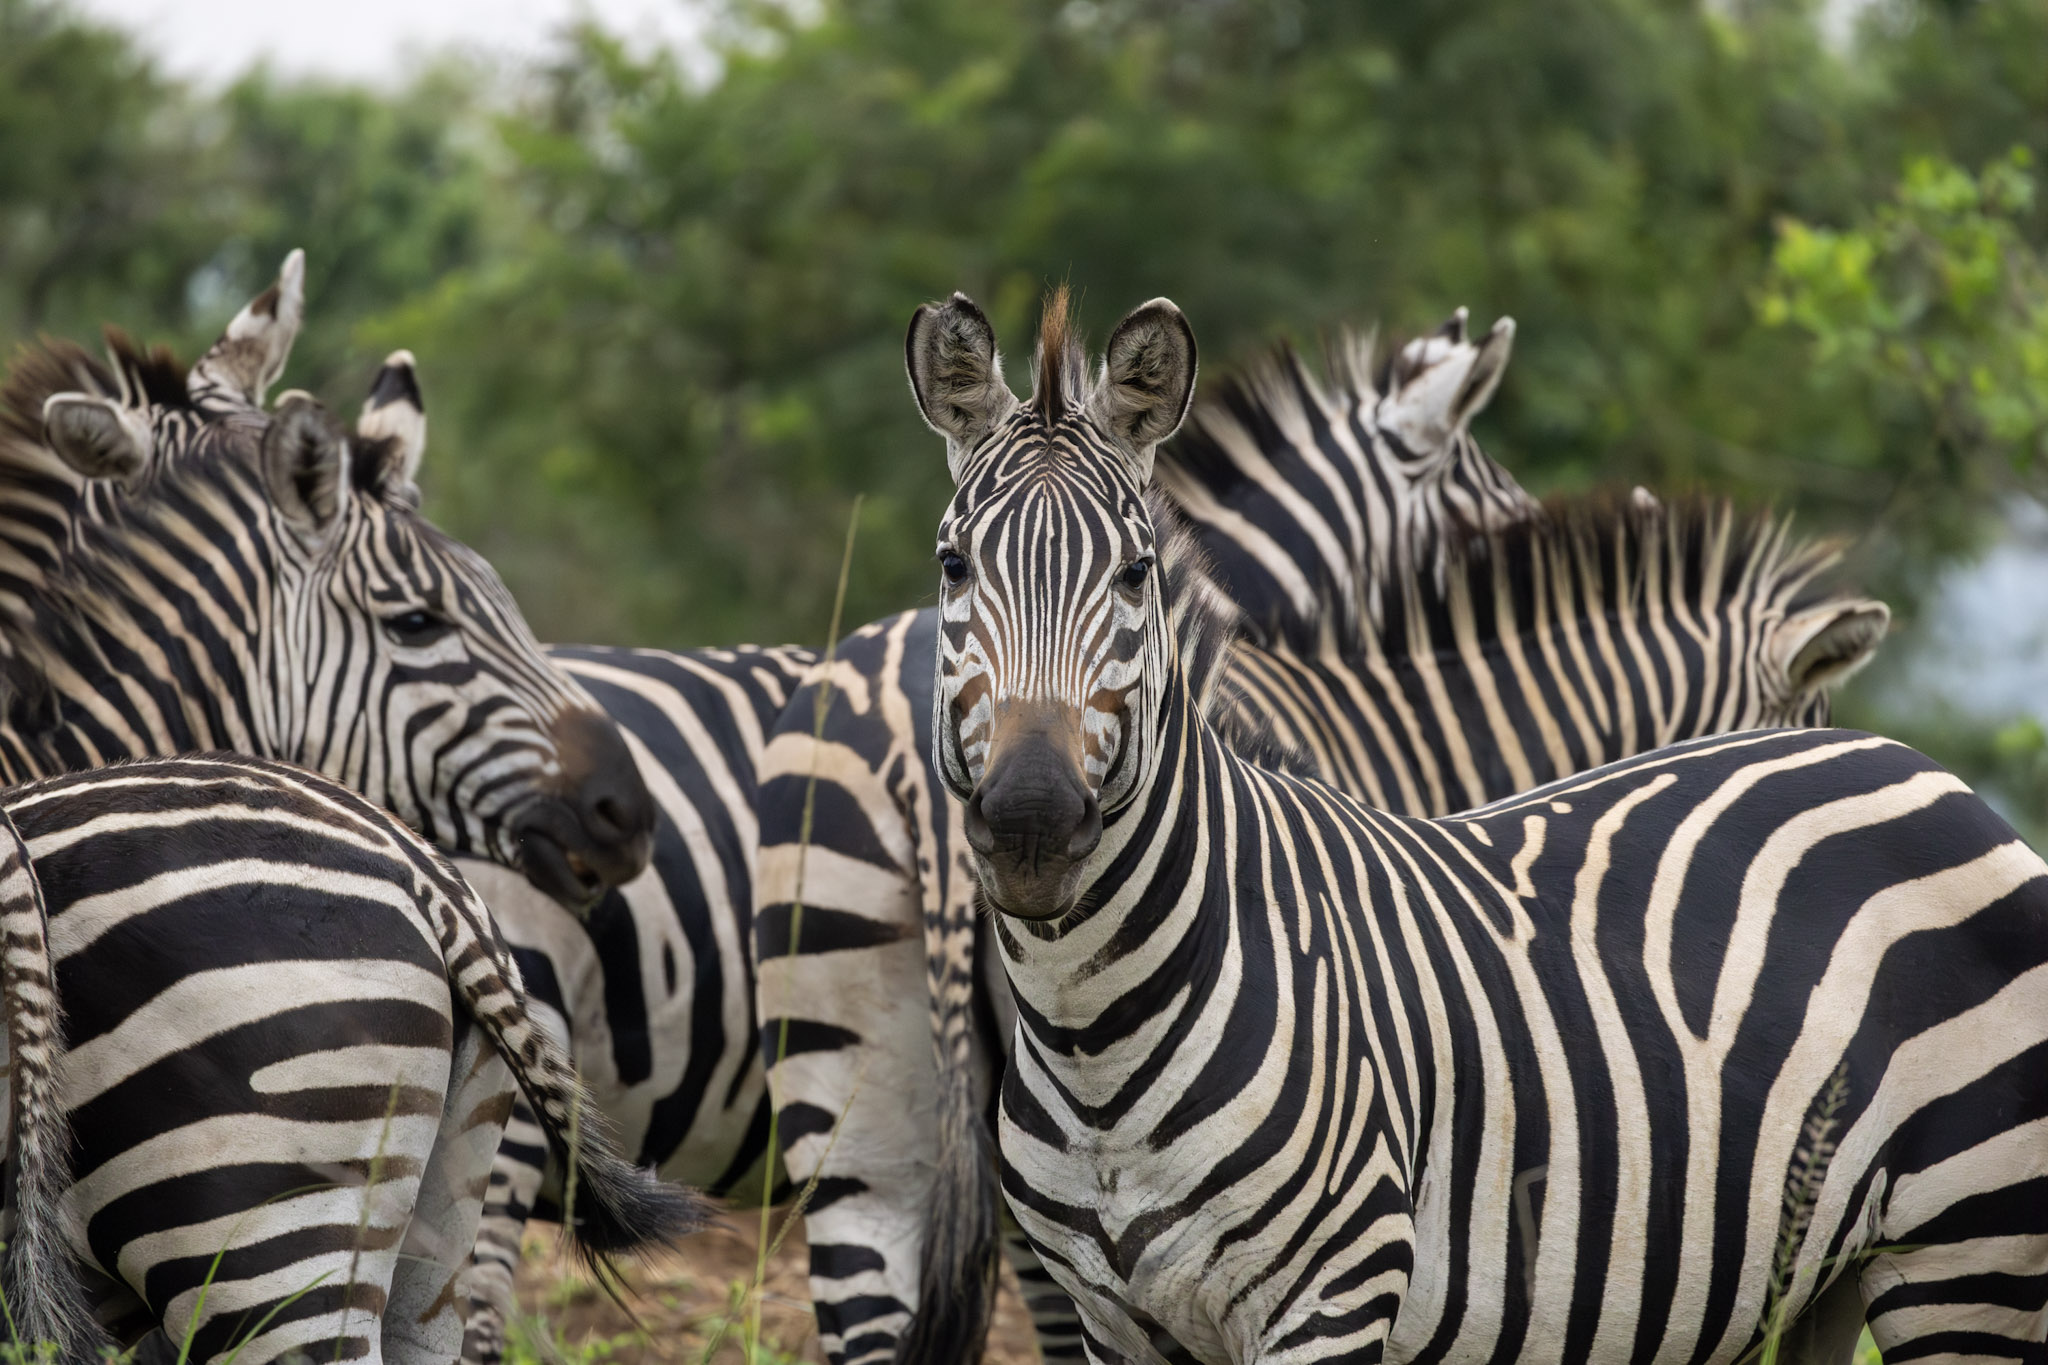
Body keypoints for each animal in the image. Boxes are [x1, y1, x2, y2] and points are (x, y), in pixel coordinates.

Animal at [913, 288, 2048, 1365]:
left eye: (1136, 573)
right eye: (952, 567)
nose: (1030, 818)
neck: (1095, 1037)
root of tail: (1909, 763)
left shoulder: (1331, 1298)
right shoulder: (1111, 1320)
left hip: (1964, 1253)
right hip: (1823, 1279)